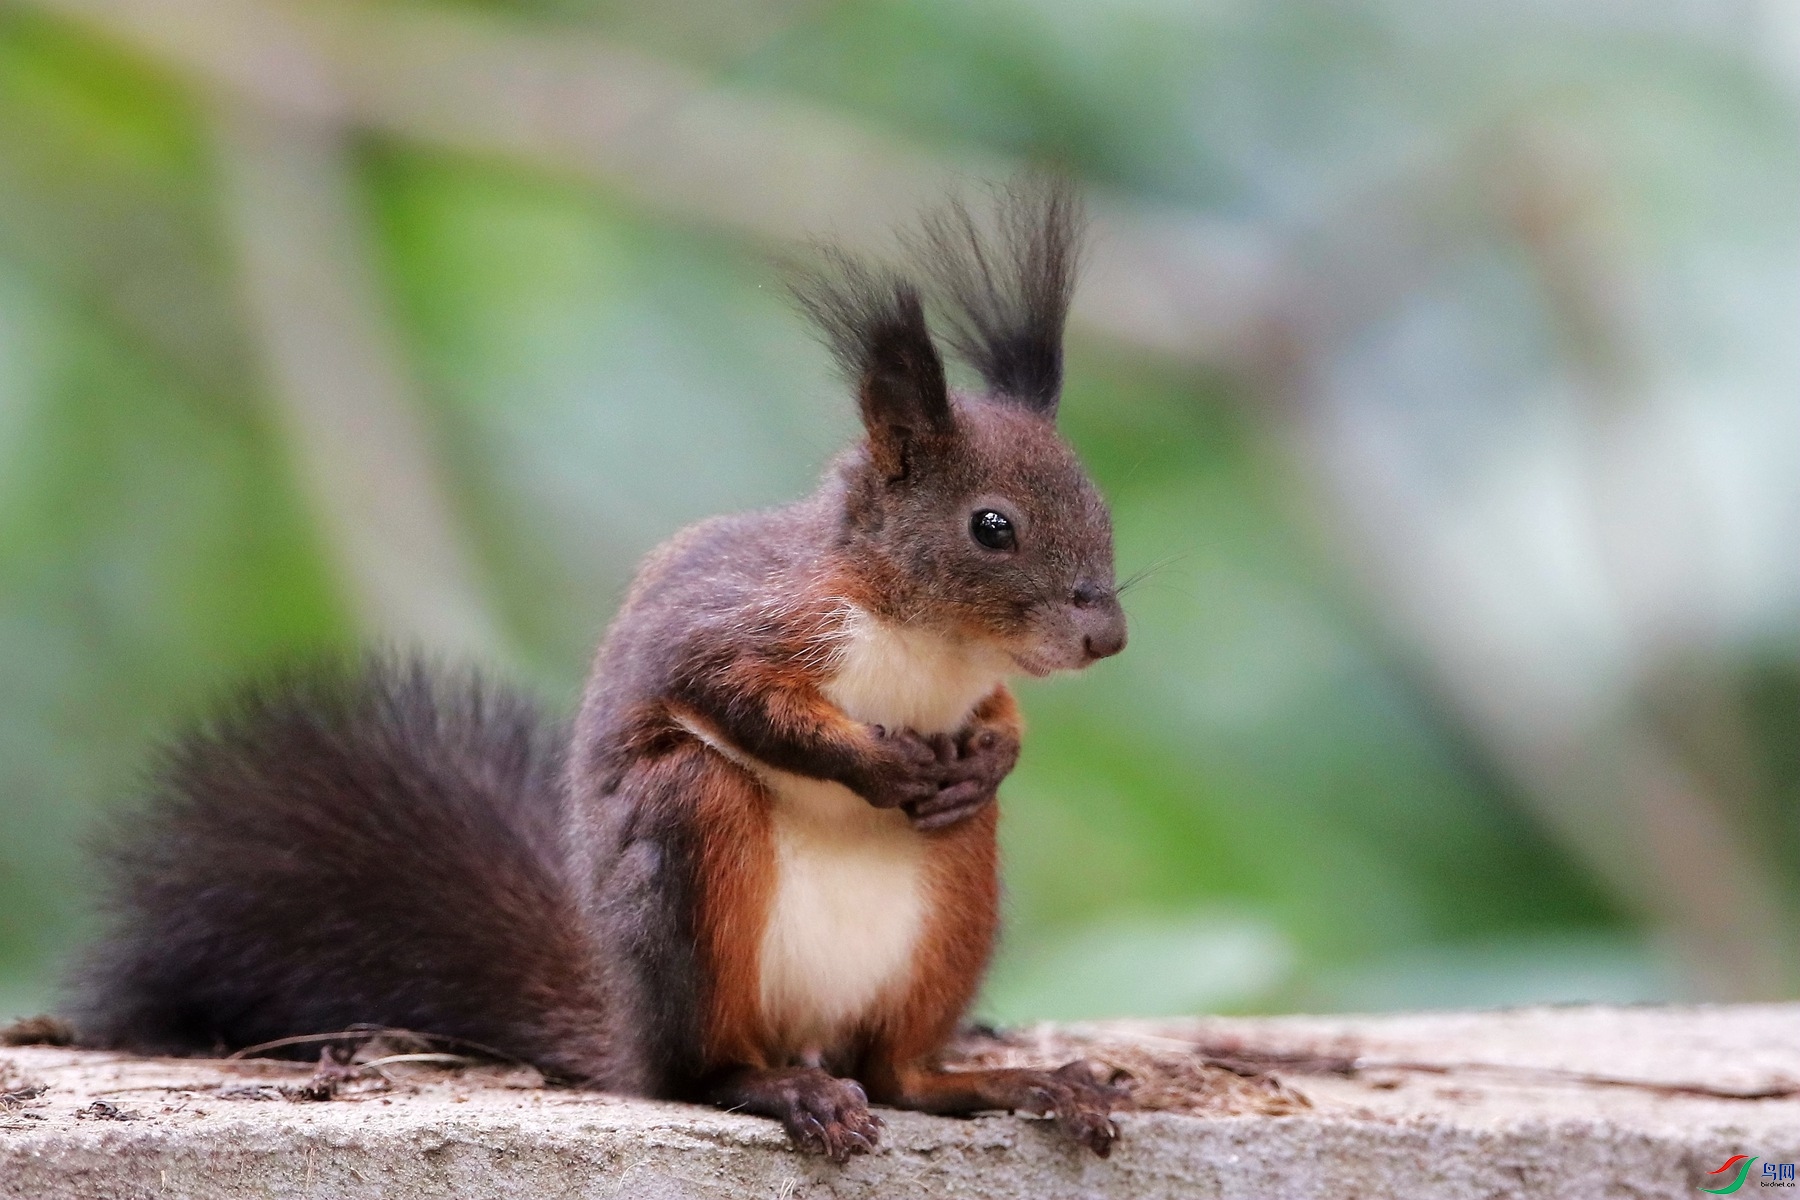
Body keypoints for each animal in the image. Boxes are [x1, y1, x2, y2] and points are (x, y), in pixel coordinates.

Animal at [73, 178, 1137, 1165]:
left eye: (1098, 502)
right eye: (991, 527)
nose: (1109, 638)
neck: (933, 640)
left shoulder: (970, 685)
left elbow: (1000, 713)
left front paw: (992, 754)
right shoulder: (748, 623)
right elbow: (733, 695)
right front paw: (880, 764)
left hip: (953, 892)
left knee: (895, 1072)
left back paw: (1014, 1081)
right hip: (693, 844)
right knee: (705, 1068)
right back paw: (779, 1088)